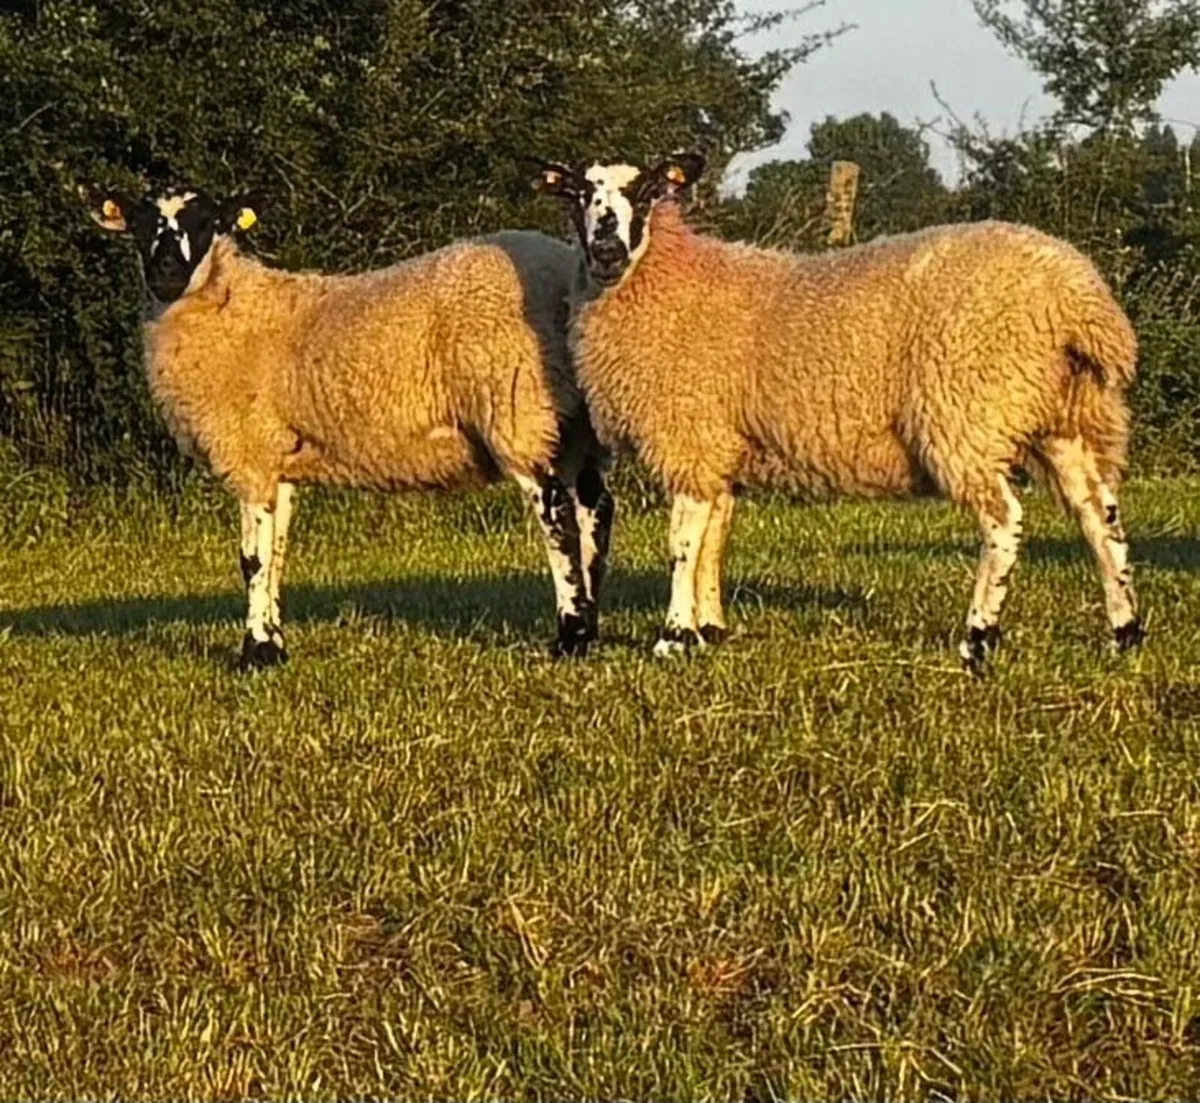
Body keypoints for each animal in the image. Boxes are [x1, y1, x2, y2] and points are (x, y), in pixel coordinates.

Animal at [86, 185, 613, 668]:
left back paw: (568, 637)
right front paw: (275, 645)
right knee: (595, 511)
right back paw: (590, 624)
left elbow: (252, 560)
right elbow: (277, 554)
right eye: (139, 225)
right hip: (573, 427)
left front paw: (253, 653)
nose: (166, 271)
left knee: (558, 519)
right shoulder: (278, 462)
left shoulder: (248, 453)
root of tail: (566, 271)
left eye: (205, 223)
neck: (227, 303)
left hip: (518, 409)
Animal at [530, 153, 1143, 671]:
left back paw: (977, 640)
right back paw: (1126, 631)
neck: (665, 280)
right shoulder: (719, 449)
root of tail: (1077, 296)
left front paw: (673, 637)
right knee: (1098, 514)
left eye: (647, 191)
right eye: (581, 194)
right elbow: (714, 538)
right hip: (1062, 417)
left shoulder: (689, 436)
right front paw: (710, 630)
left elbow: (682, 544)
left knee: (1005, 521)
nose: (607, 248)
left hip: (966, 411)